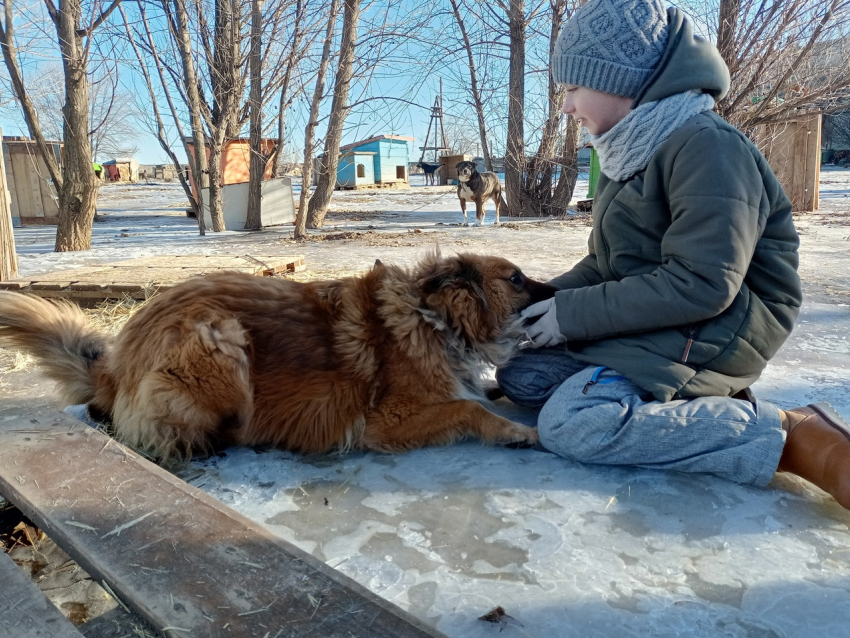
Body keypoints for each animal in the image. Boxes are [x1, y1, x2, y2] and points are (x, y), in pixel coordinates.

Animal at [1, 254, 556, 464]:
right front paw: (518, 431)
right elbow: (467, 408)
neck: (435, 318)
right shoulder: (386, 421)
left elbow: (475, 396)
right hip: (219, 338)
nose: (562, 290)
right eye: (515, 279)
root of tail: (115, 367)